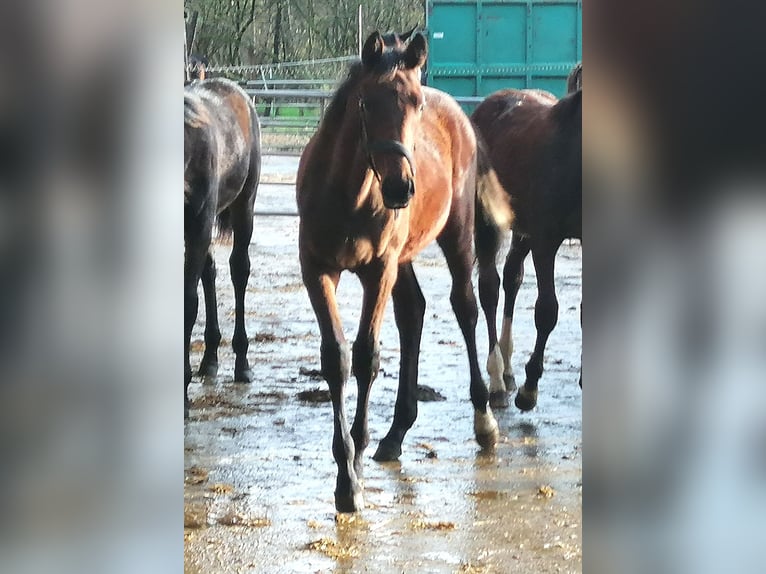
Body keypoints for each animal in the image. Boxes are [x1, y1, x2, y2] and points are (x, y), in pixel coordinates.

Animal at [296, 31, 512, 516]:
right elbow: (336, 358)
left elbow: (366, 357)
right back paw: (396, 434)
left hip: (455, 234)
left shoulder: (377, 271)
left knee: (466, 306)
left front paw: (353, 468)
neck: (349, 193)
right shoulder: (317, 269)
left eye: (415, 103)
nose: (400, 187)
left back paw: (485, 419)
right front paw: (346, 472)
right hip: (405, 257)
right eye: (366, 103)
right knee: (413, 311)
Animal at [474, 84, 584, 414]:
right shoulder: (545, 240)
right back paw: (497, 381)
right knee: (490, 288)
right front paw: (530, 388)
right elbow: (547, 311)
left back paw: (508, 372)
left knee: (512, 278)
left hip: (522, 230)